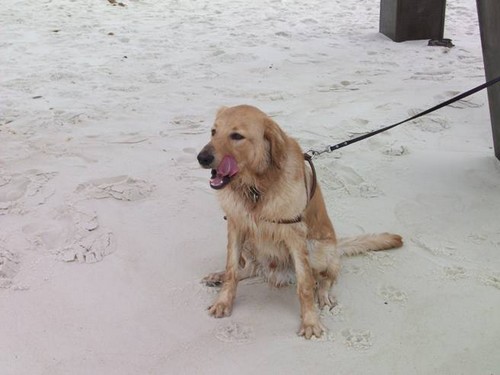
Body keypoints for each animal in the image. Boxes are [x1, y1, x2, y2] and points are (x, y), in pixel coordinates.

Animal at [195, 104, 402, 340]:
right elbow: (232, 270)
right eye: (213, 132)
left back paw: (323, 293)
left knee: (326, 276)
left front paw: (310, 321)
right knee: (249, 269)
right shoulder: (236, 226)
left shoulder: (294, 235)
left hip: (316, 248)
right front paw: (223, 301)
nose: (201, 158)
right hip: (250, 241)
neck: (256, 188)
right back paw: (218, 276)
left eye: (237, 136)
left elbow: (305, 285)